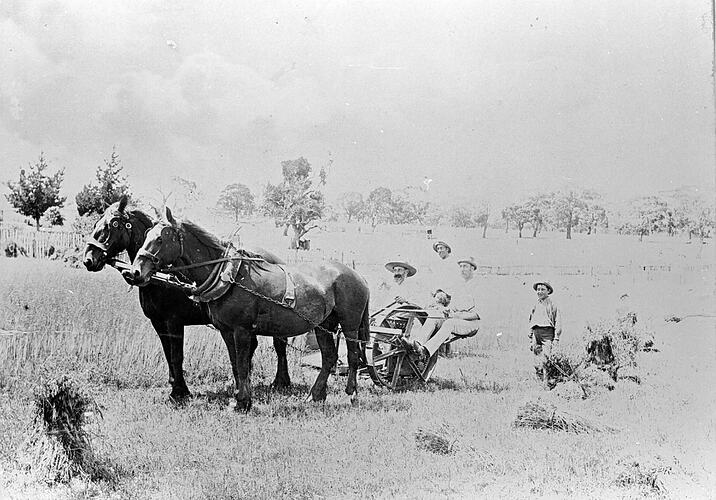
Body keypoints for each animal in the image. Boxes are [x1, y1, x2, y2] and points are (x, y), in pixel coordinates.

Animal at [83, 196, 292, 402]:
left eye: (112, 224)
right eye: (96, 223)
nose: (88, 260)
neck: (162, 278)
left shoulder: (174, 322)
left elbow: (177, 356)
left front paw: (179, 391)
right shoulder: (158, 323)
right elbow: (168, 355)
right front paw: (175, 385)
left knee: (279, 344)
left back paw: (280, 382)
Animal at [127, 207, 371, 411]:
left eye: (160, 238)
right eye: (146, 235)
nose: (135, 272)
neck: (229, 276)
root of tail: (358, 276)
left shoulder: (242, 330)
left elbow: (243, 364)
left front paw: (242, 402)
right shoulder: (227, 331)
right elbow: (236, 364)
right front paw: (240, 397)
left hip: (349, 324)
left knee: (352, 356)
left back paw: (351, 393)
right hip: (323, 325)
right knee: (328, 357)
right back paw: (316, 395)